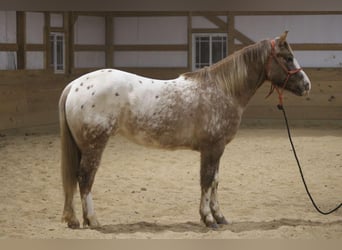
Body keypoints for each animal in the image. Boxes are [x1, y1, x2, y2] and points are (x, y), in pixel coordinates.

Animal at [58, 31, 310, 229]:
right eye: (288, 58)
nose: (307, 85)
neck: (222, 90)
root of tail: (74, 85)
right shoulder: (212, 148)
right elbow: (206, 181)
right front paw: (208, 219)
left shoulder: (217, 150)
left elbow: (215, 180)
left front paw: (219, 216)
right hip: (94, 145)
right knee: (85, 178)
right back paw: (92, 220)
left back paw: (75, 220)